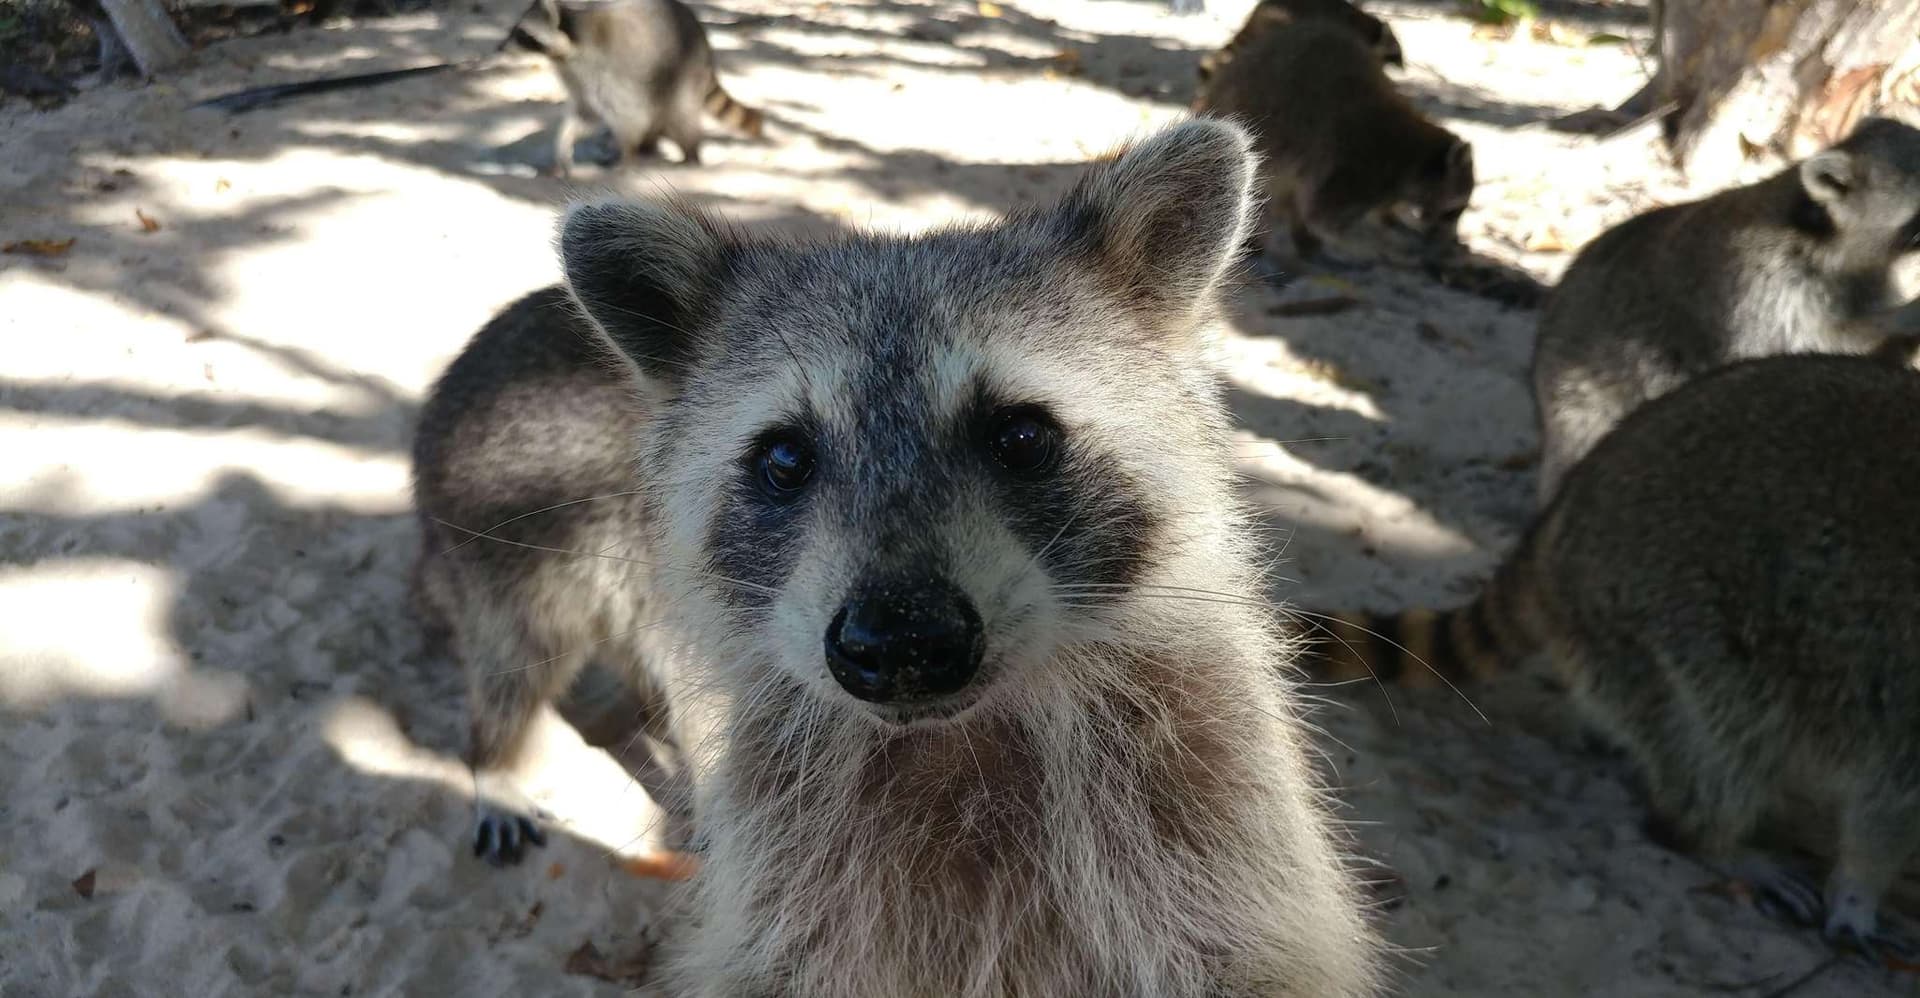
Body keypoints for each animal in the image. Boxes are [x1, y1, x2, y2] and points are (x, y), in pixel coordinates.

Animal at [412, 119, 1380, 996]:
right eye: (784, 458)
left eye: (1021, 436)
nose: (902, 643)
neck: (960, 740)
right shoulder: (794, 877)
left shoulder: (1207, 809)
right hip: (518, 529)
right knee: (517, 660)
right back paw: (495, 757)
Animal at [506, 0, 764, 176]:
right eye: (514, 30)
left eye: (521, 34)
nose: (500, 47)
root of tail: (704, 41)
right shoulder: (575, 76)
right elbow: (586, 113)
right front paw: (564, 145)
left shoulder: (608, 69)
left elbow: (629, 115)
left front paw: (627, 154)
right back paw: (649, 146)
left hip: (683, 68)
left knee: (679, 115)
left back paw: (689, 153)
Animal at [1193, 19, 1472, 272]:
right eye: (1453, 212)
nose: (1452, 242)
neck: (1415, 156)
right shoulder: (1357, 164)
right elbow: (1322, 217)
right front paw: (1372, 248)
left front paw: (1394, 223)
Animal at [1313, 353, 1920, 952]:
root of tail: (1572, 501)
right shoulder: (1903, 688)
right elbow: (1886, 807)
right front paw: (1858, 891)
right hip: (1656, 618)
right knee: (1715, 743)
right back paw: (1714, 838)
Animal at [1531, 116, 1920, 502]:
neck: (1818, 230)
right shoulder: (1758, 287)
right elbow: (1797, 347)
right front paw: (1896, 320)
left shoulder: (1864, 281)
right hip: (1584, 395)